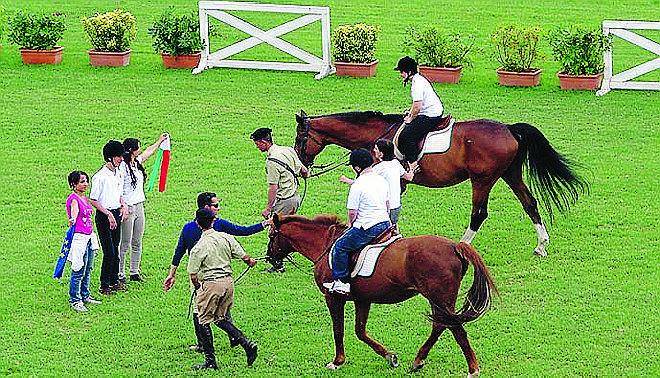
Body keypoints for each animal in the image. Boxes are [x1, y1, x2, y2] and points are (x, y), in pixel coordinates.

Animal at [266, 213, 496, 376]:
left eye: (271, 236)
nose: (270, 258)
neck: (326, 246)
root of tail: (455, 246)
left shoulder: (333, 298)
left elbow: (338, 330)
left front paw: (337, 362)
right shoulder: (362, 300)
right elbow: (360, 331)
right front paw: (389, 356)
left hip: (439, 297)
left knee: (455, 329)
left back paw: (472, 369)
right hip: (439, 300)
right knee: (441, 325)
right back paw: (418, 361)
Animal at [294, 110, 588, 255]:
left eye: (300, 138)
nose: (302, 166)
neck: (377, 134)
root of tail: (508, 128)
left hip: (483, 180)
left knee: (479, 213)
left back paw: (462, 245)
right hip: (510, 175)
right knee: (530, 203)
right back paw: (541, 245)